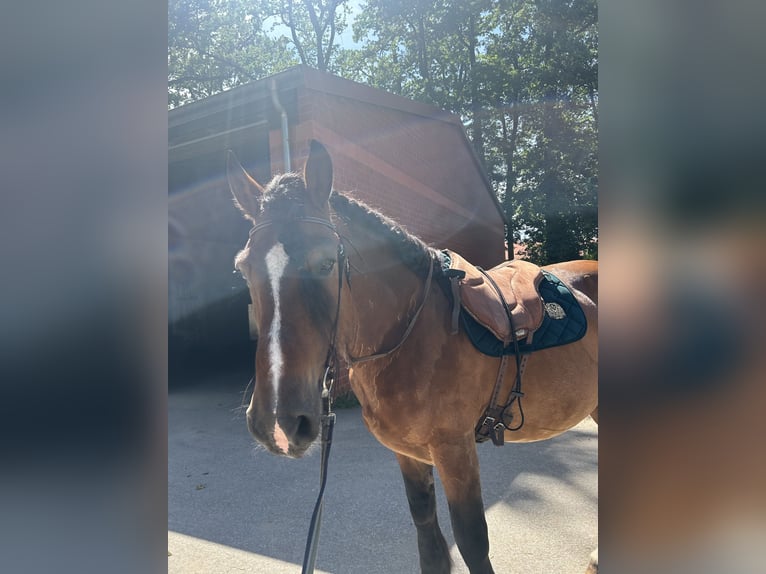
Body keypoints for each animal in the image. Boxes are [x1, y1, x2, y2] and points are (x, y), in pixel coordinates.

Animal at [228, 141, 600, 574]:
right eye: (243, 269)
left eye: (325, 262)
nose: (277, 422)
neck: (412, 334)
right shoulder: (408, 454)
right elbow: (428, 540)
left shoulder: (455, 451)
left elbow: (472, 541)